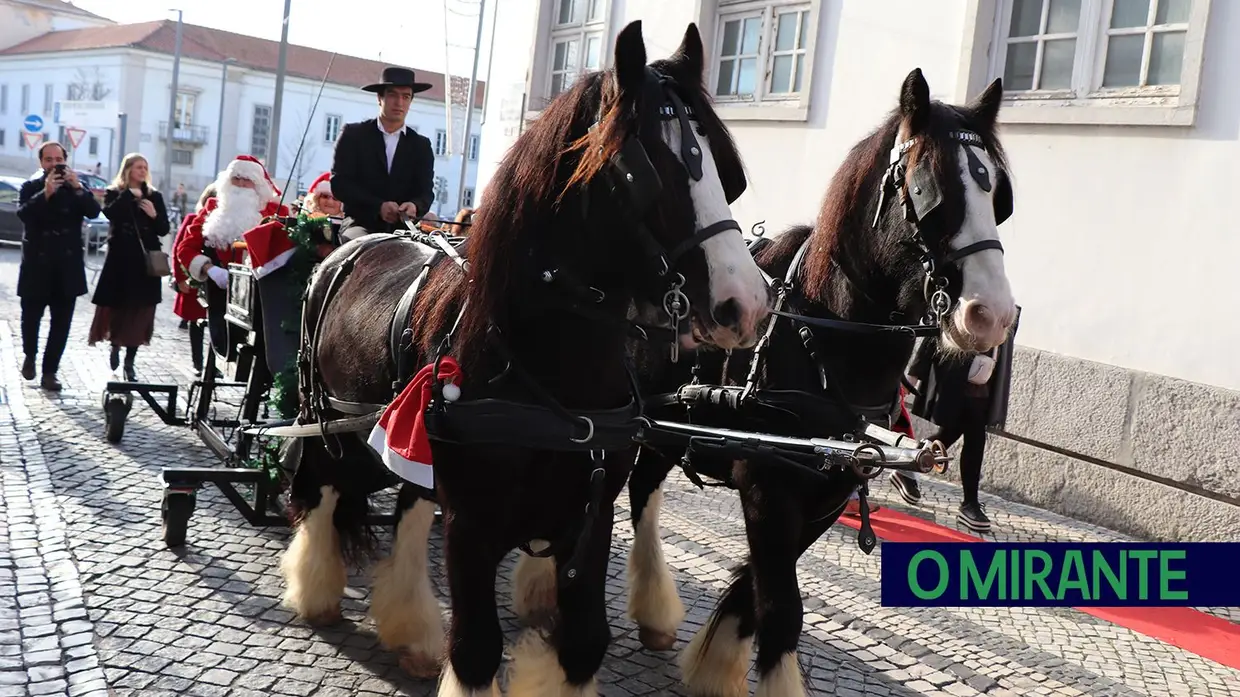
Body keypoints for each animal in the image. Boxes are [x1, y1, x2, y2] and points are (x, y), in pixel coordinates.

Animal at [279, 21, 773, 694]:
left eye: (729, 173)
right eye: (645, 172)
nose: (746, 305)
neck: (554, 386)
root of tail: (350, 247)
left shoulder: (588, 520)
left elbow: (585, 642)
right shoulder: (471, 526)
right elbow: (476, 649)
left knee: (405, 507)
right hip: (329, 418)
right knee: (324, 488)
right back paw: (319, 588)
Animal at [620, 67, 1016, 689]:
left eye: (997, 196)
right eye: (927, 189)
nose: (992, 315)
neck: (821, 332)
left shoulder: (826, 492)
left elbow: (755, 595)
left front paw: (717, 665)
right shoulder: (765, 484)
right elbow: (781, 608)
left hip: (662, 429)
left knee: (642, 490)